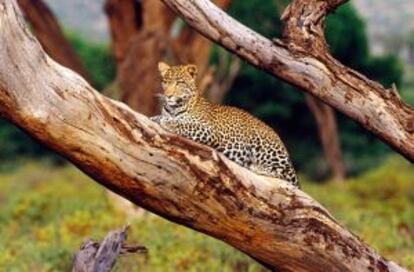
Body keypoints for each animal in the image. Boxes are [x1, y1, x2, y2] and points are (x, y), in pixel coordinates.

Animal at [150, 62, 300, 188]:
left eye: (179, 83)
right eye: (165, 82)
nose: (168, 95)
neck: (173, 108)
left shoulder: (208, 131)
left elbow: (183, 125)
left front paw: (166, 122)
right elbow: (161, 117)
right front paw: (155, 118)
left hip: (263, 145)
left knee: (285, 173)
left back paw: (255, 166)